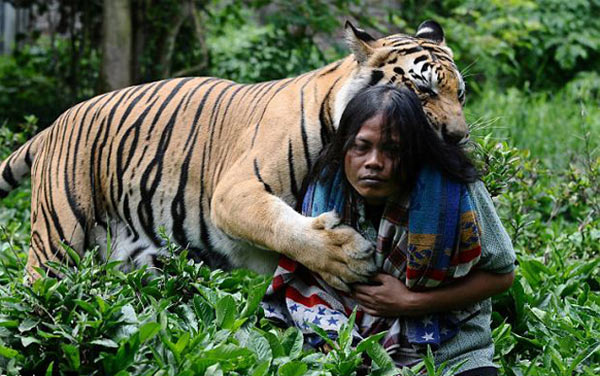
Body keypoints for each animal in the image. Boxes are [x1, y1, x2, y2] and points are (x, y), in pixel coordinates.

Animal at [0, 20, 468, 290]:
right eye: (423, 89)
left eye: (460, 94)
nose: (459, 137)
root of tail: (54, 124)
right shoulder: (233, 192)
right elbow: (281, 224)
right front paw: (342, 256)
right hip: (57, 244)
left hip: (138, 263)